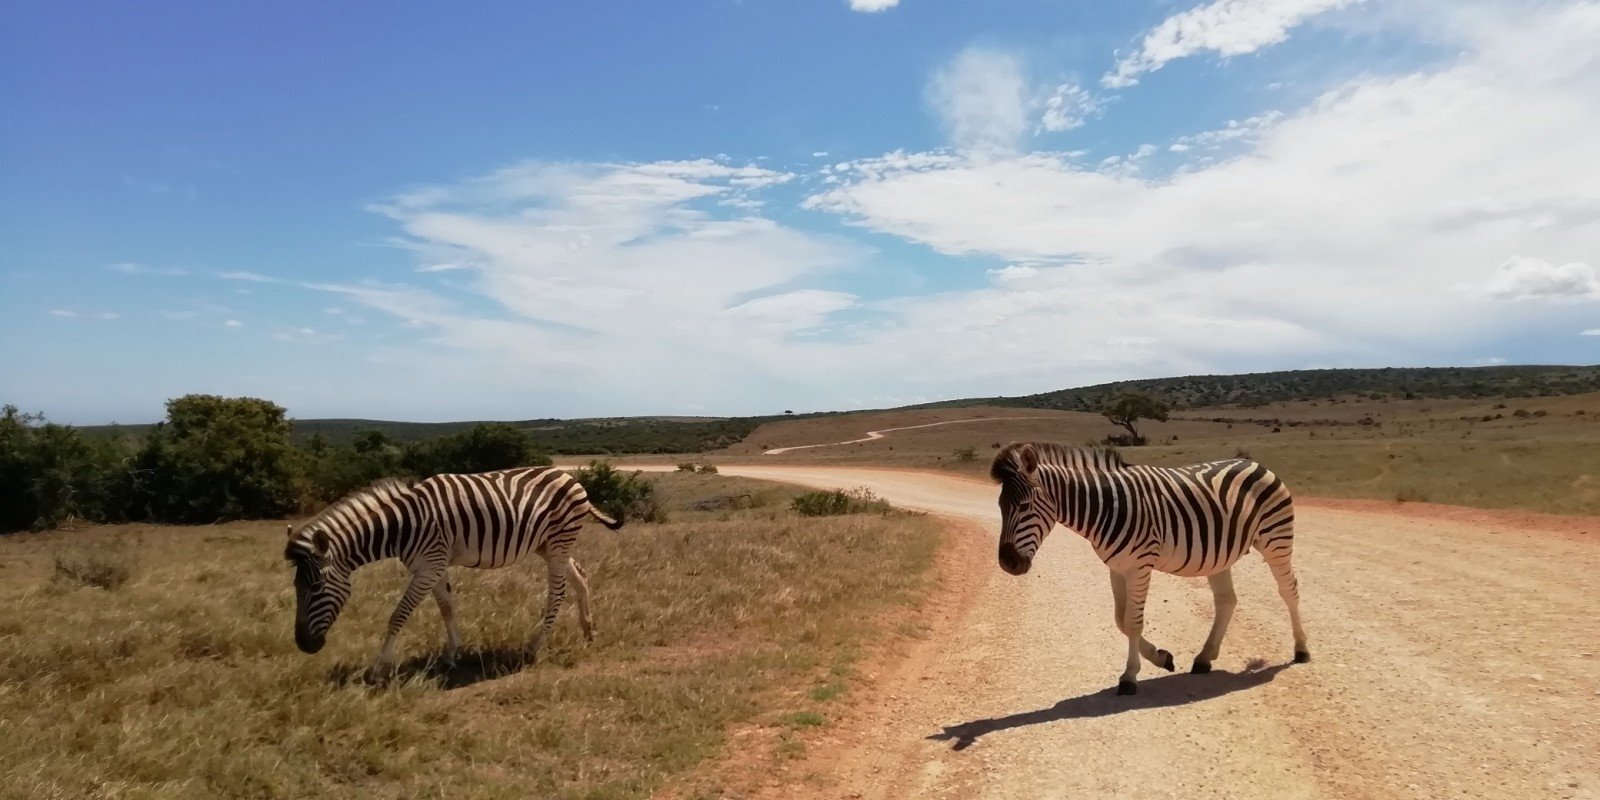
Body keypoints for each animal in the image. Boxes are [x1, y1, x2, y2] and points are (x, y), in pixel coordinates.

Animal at [284, 464, 620, 681]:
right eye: (296, 587)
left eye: (315, 587)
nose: (303, 645)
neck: (401, 526)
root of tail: (570, 476)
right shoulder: (432, 566)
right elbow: (447, 607)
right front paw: (451, 655)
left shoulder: (429, 565)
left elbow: (398, 616)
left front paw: (379, 668)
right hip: (548, 545)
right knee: (580, 576)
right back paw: (588, 631)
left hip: (559, 542)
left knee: (558, 591)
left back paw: (536, 647)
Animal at [985, 441, 1312, 697]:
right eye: (1000, 506)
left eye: (1024, 506)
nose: (1008, 564)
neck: (1106, 507)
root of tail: (1251, 461)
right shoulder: (1117, 567)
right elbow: (1120, 620)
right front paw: (1162, 658)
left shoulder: (1140, 565)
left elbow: (1132, 622)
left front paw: (1130, 677)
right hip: (1221, 555)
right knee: (1226, 601)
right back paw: (1204, 658)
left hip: (1276, 539)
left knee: (1289, 591)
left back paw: (1301, 650)